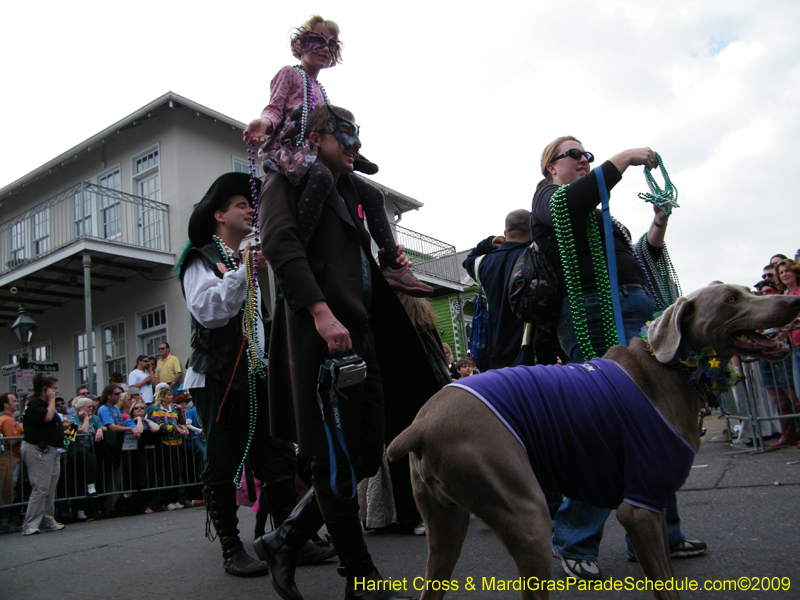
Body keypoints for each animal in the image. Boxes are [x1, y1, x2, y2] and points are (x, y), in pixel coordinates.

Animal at [388, 286, 800, 600]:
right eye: (731, 298)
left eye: (745, 291)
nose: (793, 300)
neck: (665, 372)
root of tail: (419, 425)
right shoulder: (639, 507)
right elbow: (664, 585)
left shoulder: (653, 505)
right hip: (524, 511)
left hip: (446, 521)